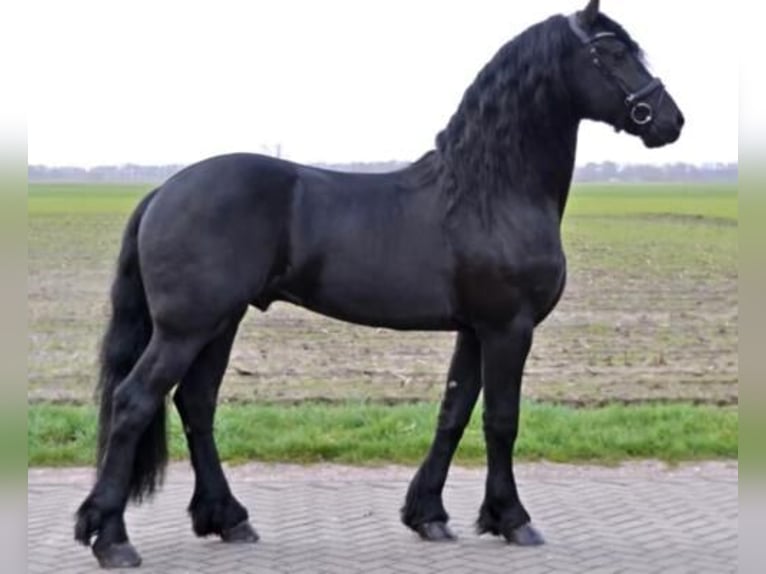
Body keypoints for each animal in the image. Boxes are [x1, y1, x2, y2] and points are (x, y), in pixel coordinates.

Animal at [74, 0, 684, 567]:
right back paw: (113, 539)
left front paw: (429, 515)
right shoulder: (508, 329)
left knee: (196, 404)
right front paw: (512, 519)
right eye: (612, 52)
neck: (490, 193)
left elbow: (453, 414)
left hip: (221, 322)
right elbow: (501, 420)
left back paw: (228, 519)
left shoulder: (475, 330)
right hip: (186, 328)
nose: (670, 121)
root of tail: (164, 191)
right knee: (135, 401)